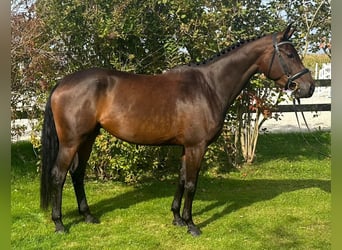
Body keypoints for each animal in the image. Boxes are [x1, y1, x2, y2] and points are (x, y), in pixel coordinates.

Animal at [40, 23, 316, 236]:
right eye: (289, 54)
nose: (308, 87)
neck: (208, 87)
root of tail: (62, 83)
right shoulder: (197, 147)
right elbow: (192, 184)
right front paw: (192, 225)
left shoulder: (186, 147)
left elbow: (182, 179)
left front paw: (177, 218)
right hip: (71, 142)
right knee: (58, 175)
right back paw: (59, 224)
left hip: (88, 138)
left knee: (77, 174)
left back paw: (87, 216)